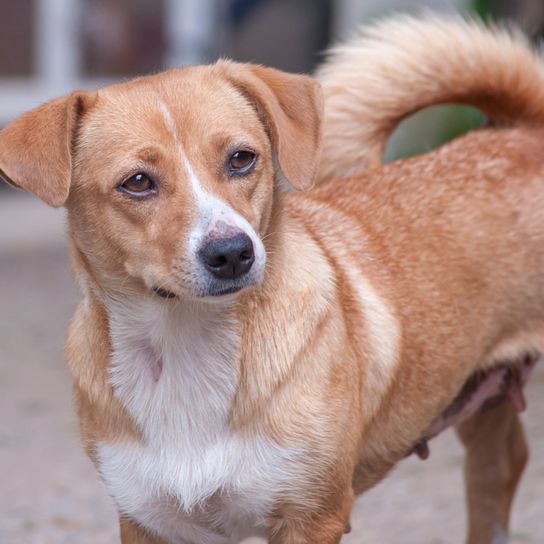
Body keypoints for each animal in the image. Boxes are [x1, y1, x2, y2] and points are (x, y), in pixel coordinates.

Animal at [1, 14, 544, 544]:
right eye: (137, 182)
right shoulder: (150, 522)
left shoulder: (312, 516)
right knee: (500, 469)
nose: (232, 253)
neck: (186, 344)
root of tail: (523, 132)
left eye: (242, 158)